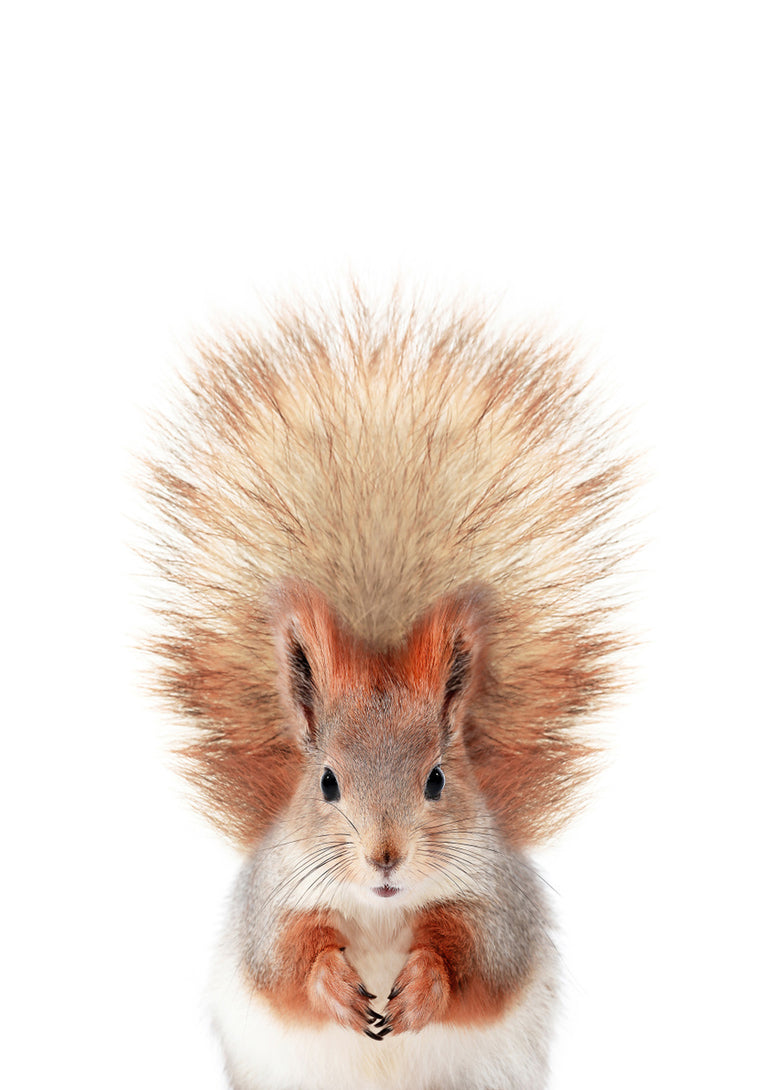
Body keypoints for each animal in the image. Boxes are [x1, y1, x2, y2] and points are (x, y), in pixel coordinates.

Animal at [144, 291, 632, 1090]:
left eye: (437, 780)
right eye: (326, 783)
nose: (385, 857)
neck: (378, 912)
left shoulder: (497, 907)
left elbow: (477, 963)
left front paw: (425, 984)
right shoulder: (271, 905)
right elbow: (285, 963)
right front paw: (334, 986)